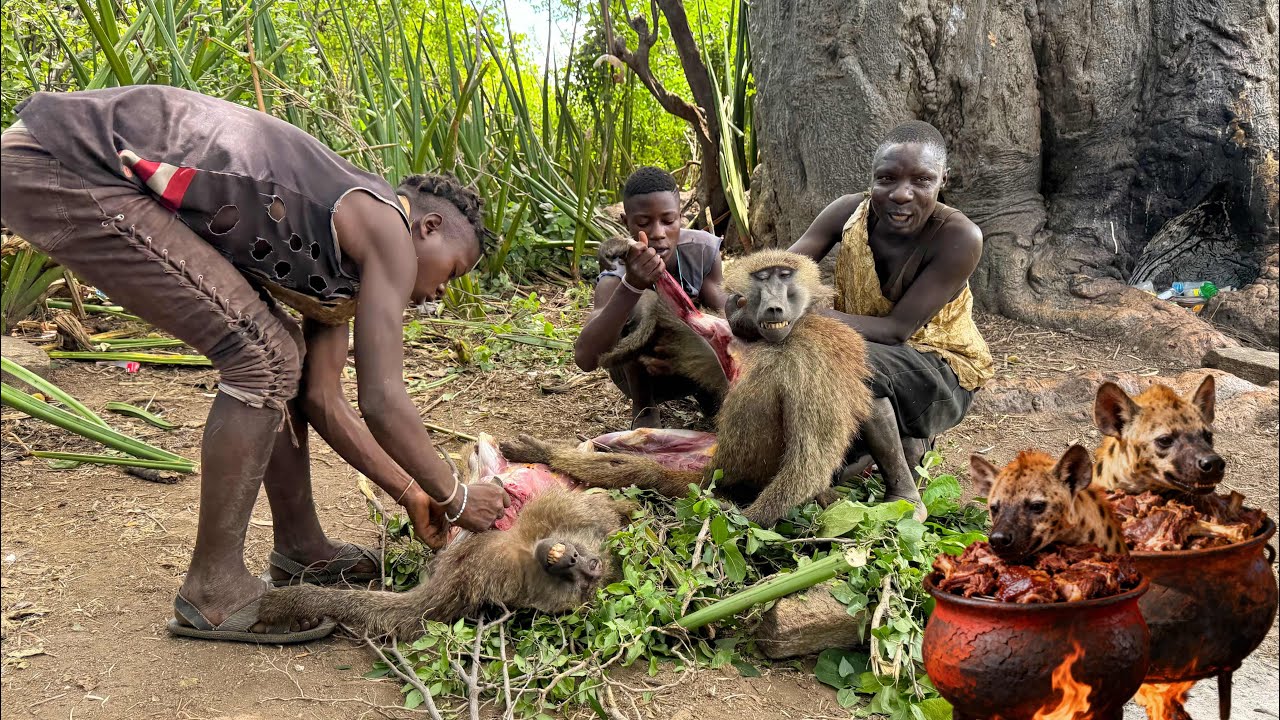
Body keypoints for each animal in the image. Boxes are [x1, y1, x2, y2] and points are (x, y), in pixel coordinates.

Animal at [257, 485, 633, 638]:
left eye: (580, 583)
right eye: (593, 566)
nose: (572, 560)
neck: (528, 546)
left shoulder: (479, 575)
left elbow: (409, 612)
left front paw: (291, 603)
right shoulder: (565, 509)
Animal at [502, 249, 874, 527]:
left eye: (785, 277)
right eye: (763, 278)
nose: (773, 306)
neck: (788, 335)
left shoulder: (810, 361)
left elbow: (809, 466)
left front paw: (749, 521)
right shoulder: (735, 341)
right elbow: (695, 328)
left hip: (710, 476)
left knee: (643, 473)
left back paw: (545, 455)